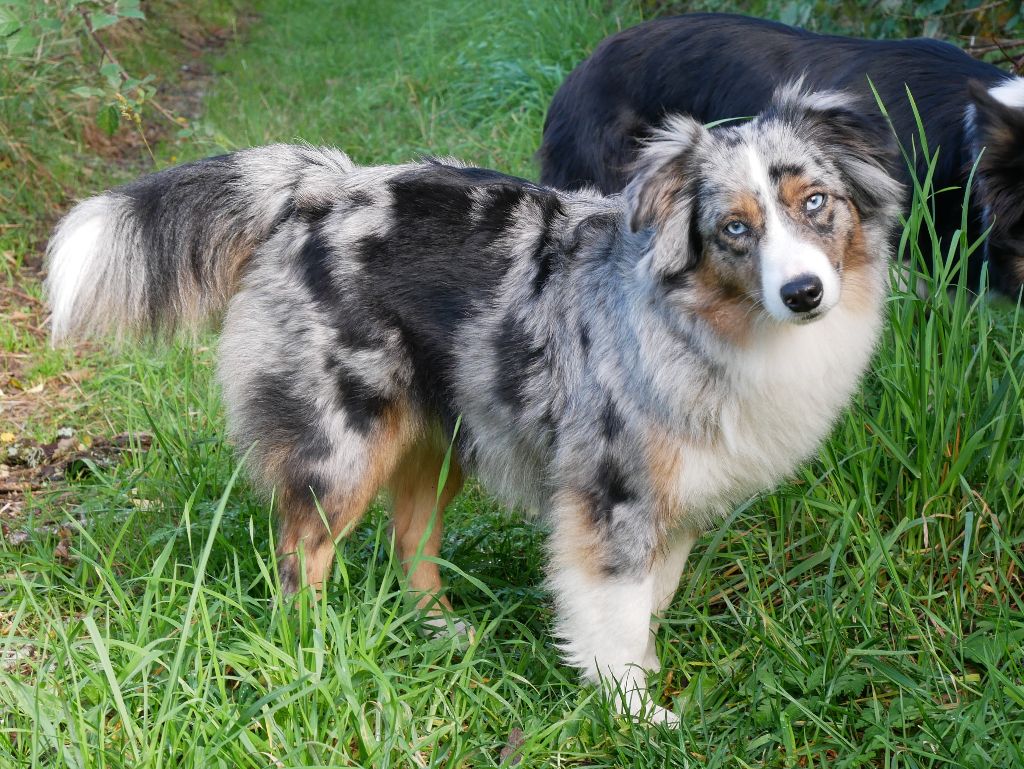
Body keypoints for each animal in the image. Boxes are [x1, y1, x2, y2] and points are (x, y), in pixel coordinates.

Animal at [46, 84, 902, 725]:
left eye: (816, 203)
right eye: (733, 229)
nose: (804, 291)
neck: (707, 322)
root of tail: (322, 187)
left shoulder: (678, 501)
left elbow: (651, 601)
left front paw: (646, 671)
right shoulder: (611, 496)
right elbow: (616, 611)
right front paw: (630, 709)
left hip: (443, 433)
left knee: (410, 539)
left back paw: (439, 628)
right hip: (343, 442)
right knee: (300, 553)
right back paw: (315, 653)